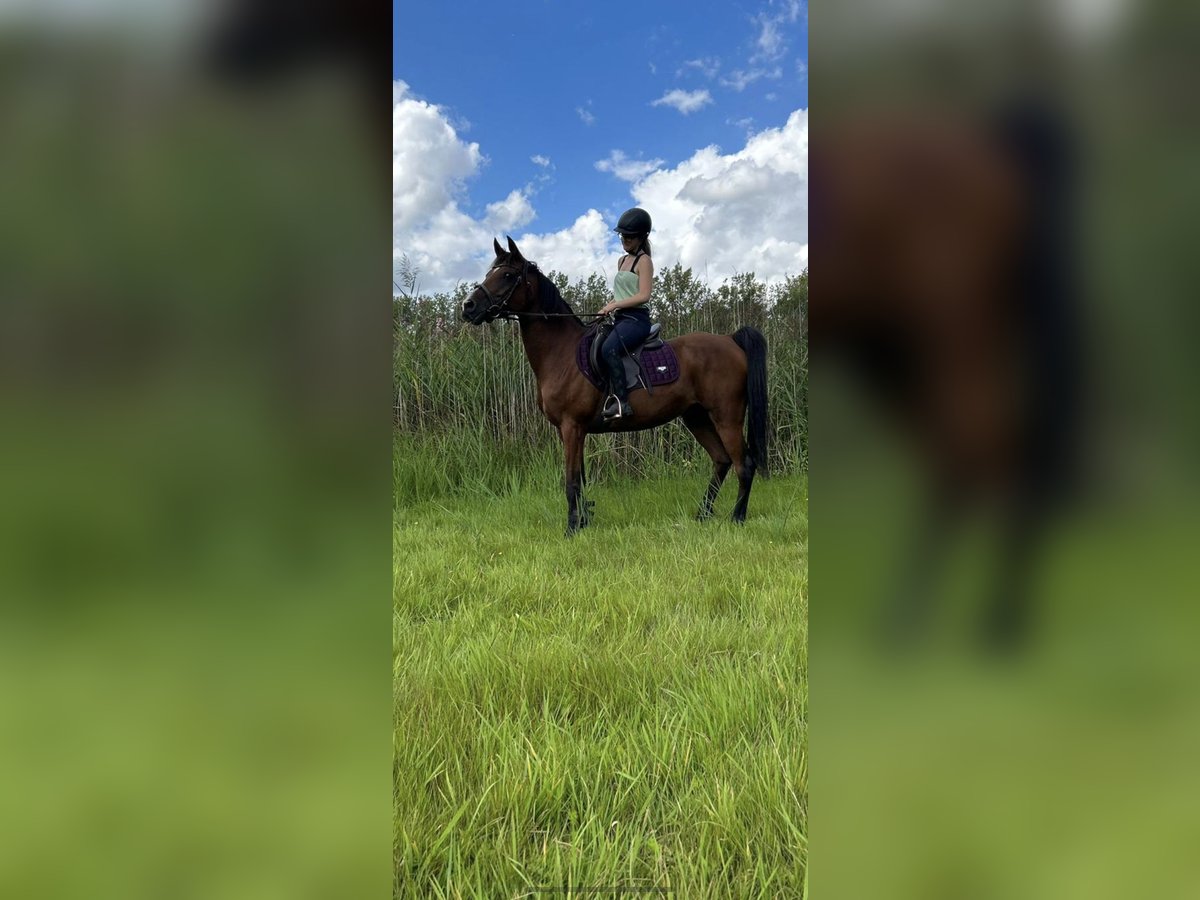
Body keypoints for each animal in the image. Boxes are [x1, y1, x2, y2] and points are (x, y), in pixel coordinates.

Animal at [458, 236, 768, 540]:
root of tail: (730, 340)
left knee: (743, 464)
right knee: (721, 460)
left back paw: (737, 518)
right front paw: (583, 522)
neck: (561, 353)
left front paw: (571, 530)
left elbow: (571, 481)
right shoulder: (571, 430)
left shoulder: (572, 426)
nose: (467, 307)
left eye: (508, 275)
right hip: (696, 416)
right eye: (489, 273)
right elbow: (580, 480)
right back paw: (702, 516)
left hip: (726, 416)